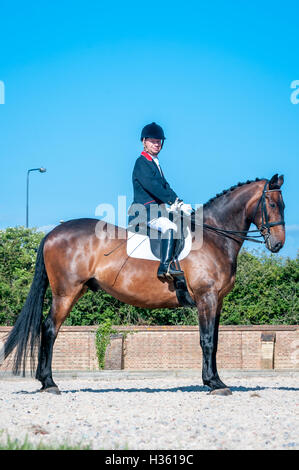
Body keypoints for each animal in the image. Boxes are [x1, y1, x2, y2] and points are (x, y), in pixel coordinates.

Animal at [1, 173, 286, 392]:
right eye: (272, 204)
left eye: (283, 205)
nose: (278, 244)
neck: (214, 236)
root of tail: (53, 232)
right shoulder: (207, 297)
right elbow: (206, 340)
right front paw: (213, 384)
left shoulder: (218, 300)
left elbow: (214, 341)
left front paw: (215, 380)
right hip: (66, 292)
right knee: (50, 329)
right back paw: (49, 383)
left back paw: (45, 381)